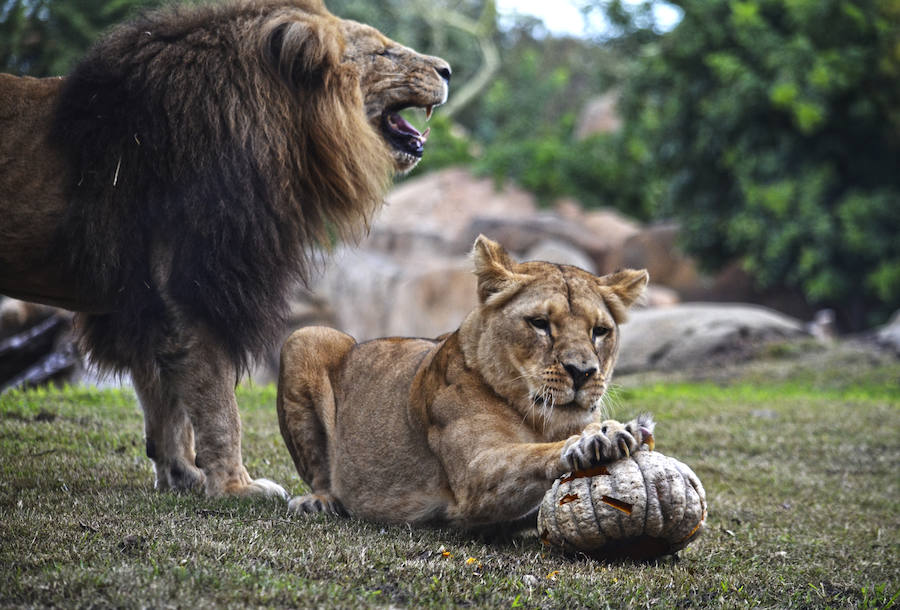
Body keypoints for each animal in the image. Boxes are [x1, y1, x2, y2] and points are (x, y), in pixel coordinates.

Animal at [0, 0, 450, 498]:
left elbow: (164, 401)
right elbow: (217, 403)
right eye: (384, 53)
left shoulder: (145, 298)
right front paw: (236, 487)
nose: (448, 70)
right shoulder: (193, 287)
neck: (282, 133)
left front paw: (181, 476)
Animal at [276, 235, 652, 524]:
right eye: (540, 323)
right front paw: (599, 440)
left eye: (599, 331)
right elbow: (531, 455)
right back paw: (319, 502)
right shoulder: (475, 476)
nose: (583, 372)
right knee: (320, 475)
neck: (543, 422)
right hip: (305, 337)